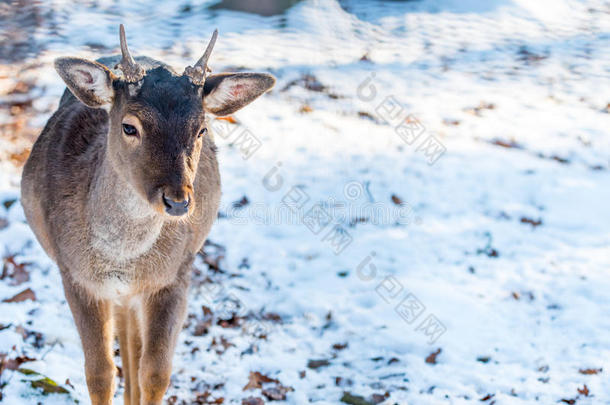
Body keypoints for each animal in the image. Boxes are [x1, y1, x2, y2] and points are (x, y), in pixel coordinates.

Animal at [20, 26, 274, 404]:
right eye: (129, 127)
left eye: (201, 130)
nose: (178, 202)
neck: (121, 256)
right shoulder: (75, 275)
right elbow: (99, 373)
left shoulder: (174, 275)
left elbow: (155, 373)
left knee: (133, 344)